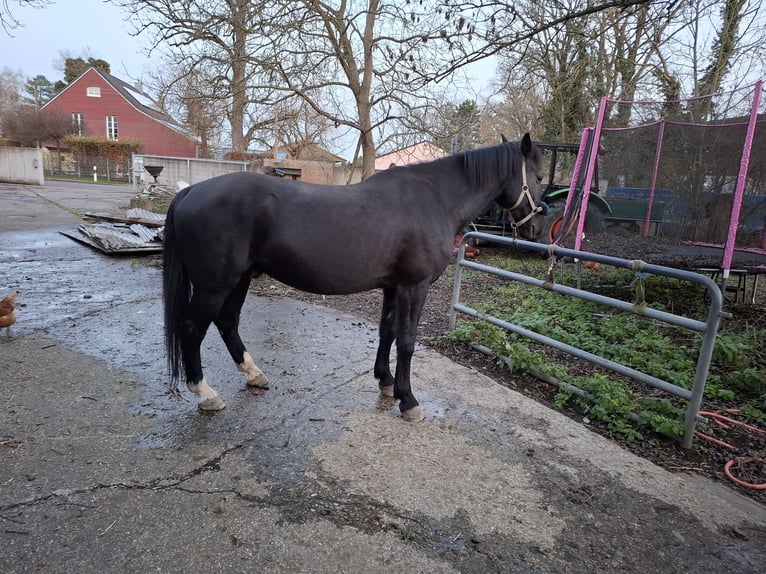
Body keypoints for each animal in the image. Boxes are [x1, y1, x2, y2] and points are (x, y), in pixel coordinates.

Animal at [164, 135, 544, 424]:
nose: (536, 229)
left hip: (239, 279)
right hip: (215, 284)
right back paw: (206, 394)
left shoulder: (393, 287)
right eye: (539, 177)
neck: (433, 199)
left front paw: (386, 382)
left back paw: (253, 374)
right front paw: (409, 401)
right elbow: (407, 342)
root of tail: (189, 192)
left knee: (227, 322)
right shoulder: (414, 287)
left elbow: (387, 332)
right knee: (193, 329)